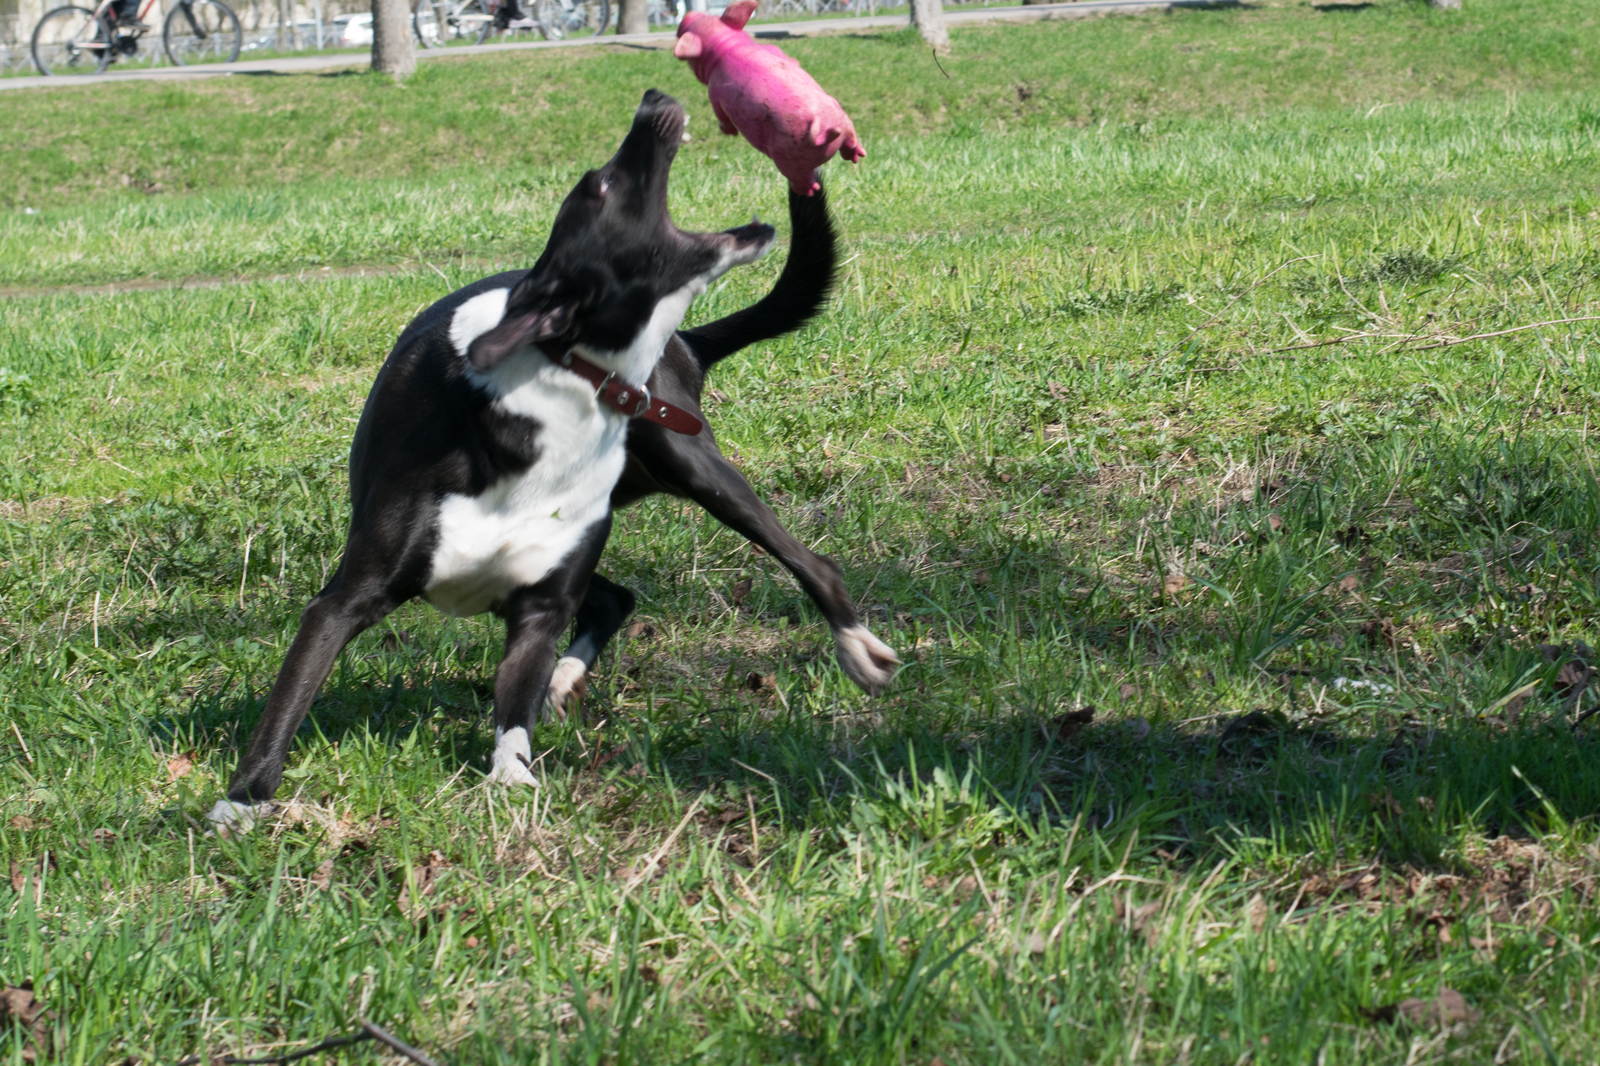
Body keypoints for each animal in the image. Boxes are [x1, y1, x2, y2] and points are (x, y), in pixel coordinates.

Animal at [209, 87, 902, 825]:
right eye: (599, 186)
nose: (653, 97)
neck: (561, 378)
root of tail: (682, 345)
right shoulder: (345, 602)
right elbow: (290, 701)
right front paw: (240, 801)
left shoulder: (541, 607)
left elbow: (513, 711)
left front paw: (512, 776)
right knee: (617, 599)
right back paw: (569, 677)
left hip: (694, 468)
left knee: (805, 562)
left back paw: (855, 646)